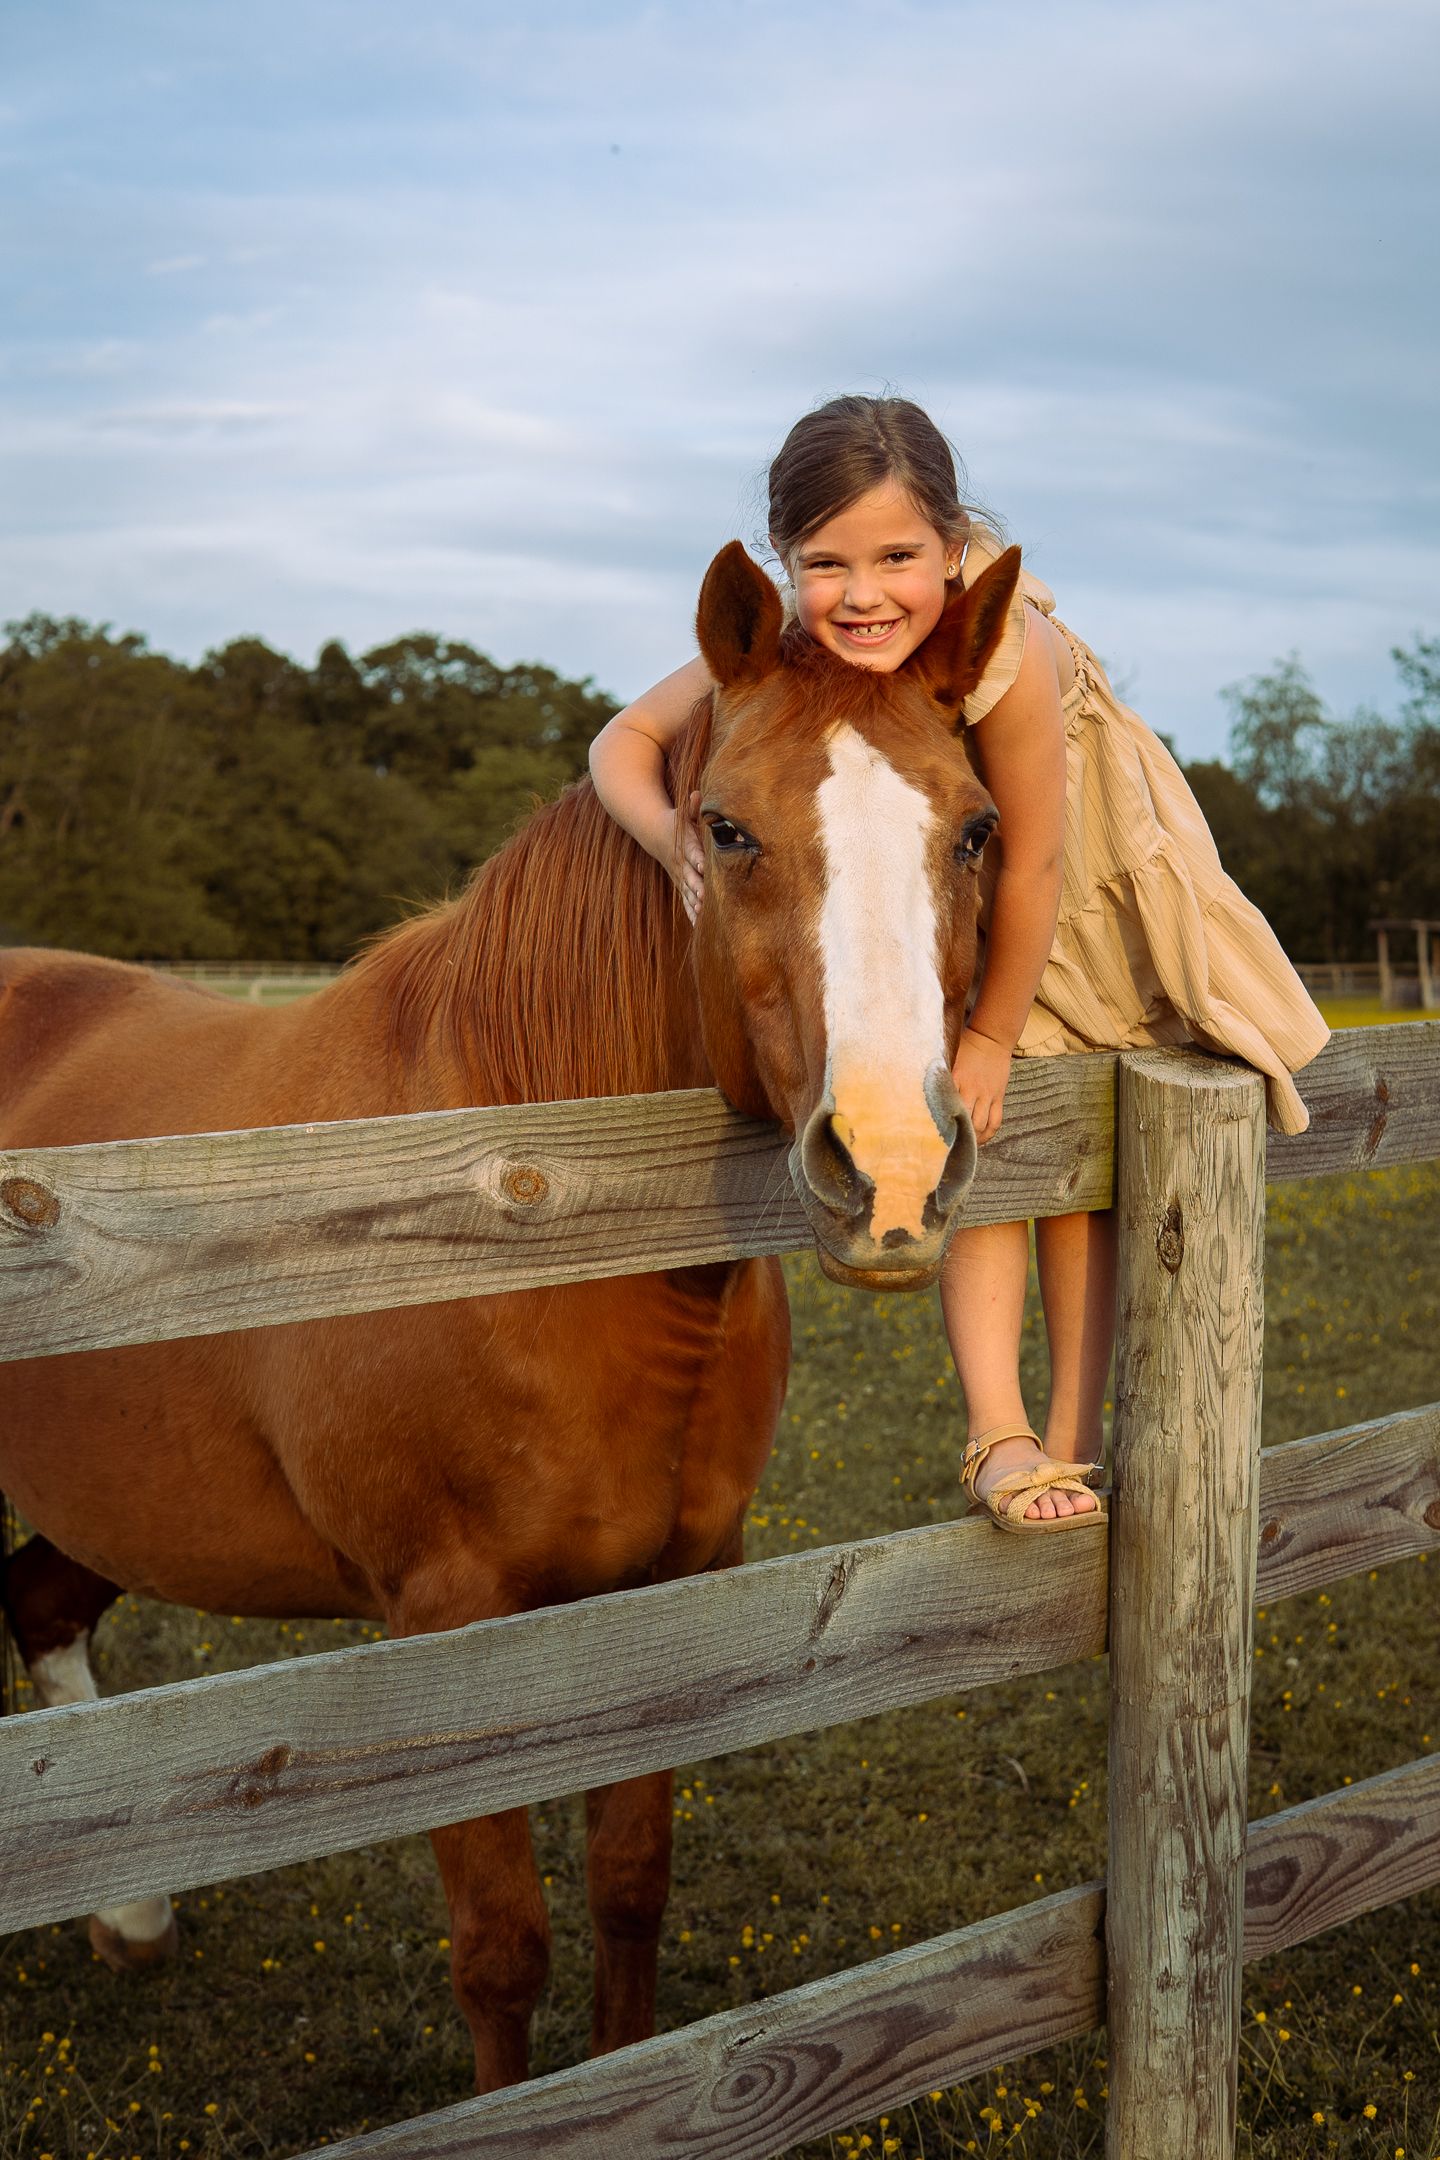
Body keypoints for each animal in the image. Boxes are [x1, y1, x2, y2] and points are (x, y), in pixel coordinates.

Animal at [0, 537, 1019, 2091]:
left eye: (974, 831)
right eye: (726, 830)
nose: (894, 1168)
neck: (521, 1212)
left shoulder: (675, 1587)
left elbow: (629, 1889)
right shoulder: (450, 1628)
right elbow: (500, 1953)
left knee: (36, 1608)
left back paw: (131, 1918)